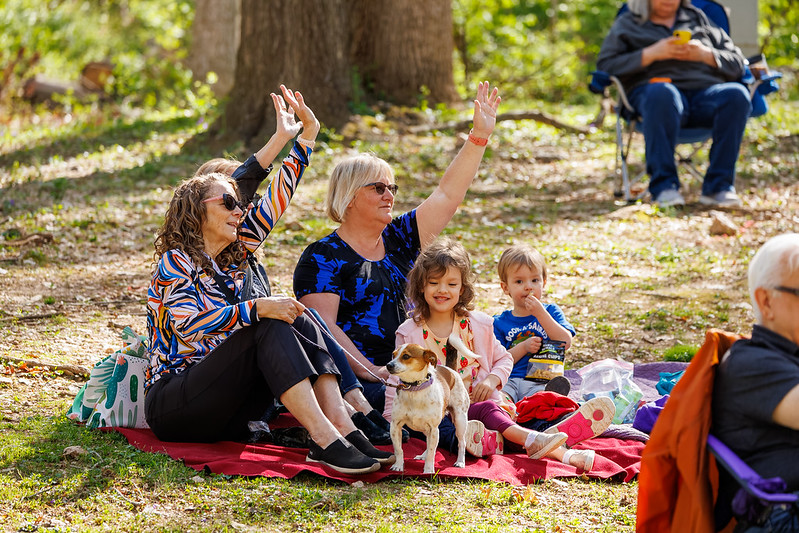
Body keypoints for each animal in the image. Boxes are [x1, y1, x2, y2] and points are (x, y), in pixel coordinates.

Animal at [386, 342, 468, 472]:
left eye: (406, 356)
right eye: (393, 355)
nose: (388, 365)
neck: (414, 389)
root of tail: (451, 370)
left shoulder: (433, 428)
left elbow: (431, 452)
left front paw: (428, 470)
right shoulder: (395, 426)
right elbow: (398, 449)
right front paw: (398, 465)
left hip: (460, 421)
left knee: (461, 442)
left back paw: (460, 461)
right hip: (426, 429)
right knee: (429, 442)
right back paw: (423, 456)